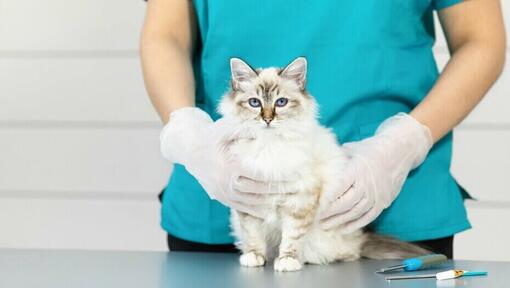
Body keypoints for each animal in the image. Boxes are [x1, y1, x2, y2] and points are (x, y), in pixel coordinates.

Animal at [215, 56, 426, 272]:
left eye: (281, 102)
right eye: (254, 103)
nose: (267, 119)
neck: (270, 145)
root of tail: (360, 240)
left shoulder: (300, 201)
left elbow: (291, 237)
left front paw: (287, 260)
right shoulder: (249, 203)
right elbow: (253, 236)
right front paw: (254, 256)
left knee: (347, 254)